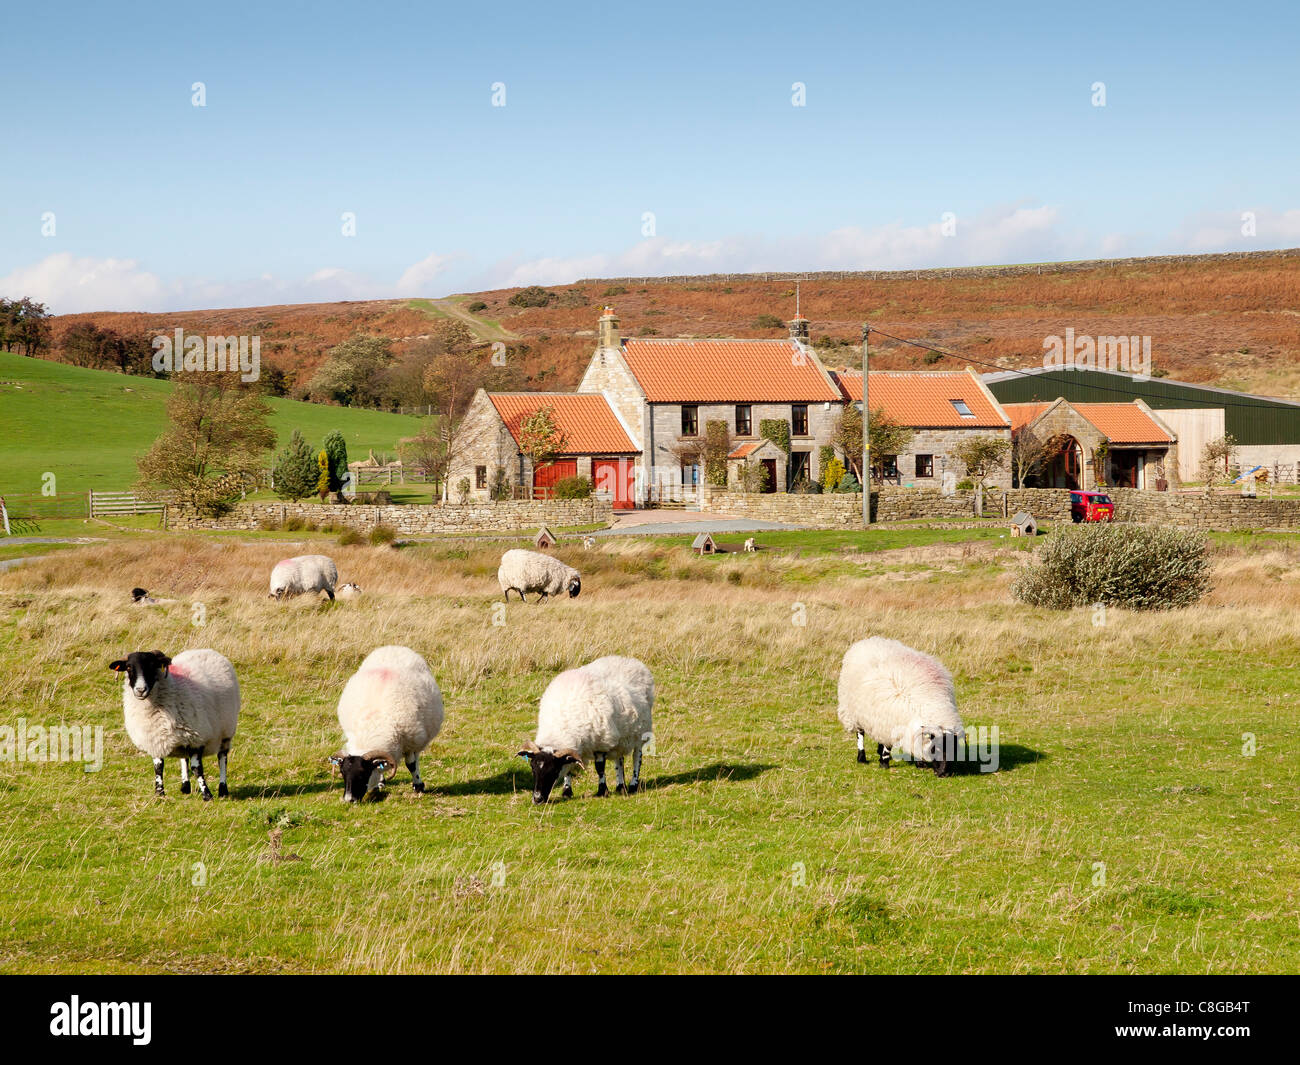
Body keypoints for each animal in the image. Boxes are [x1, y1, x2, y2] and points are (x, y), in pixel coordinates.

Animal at [110, 642, 240, 801]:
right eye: (129, 667)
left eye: (153, 665)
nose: (140, 690)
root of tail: (206, 650)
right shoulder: (156, 738)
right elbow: (158, 767)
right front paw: (159, 793)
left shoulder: (196, 738)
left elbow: (197, 768)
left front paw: (207, 794)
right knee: (184, 758)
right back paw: (185, 786)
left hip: (226, 731)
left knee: (222, 757)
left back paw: (223, 789)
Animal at [327, 644, 444, 806]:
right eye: (342, 773)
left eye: (363, 773)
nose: (349, 800)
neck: (372, 724)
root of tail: (394, 647)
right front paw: (379, 784)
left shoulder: (409, 742)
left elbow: (411, 765)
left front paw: (418, 787)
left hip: (418, 736)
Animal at [517, 652, 655, 806]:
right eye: (532, 768)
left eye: (553, 770)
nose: (537, 799)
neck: (561, 725)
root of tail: (630, 660)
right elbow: (569, 769)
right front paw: (566, 791)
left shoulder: (601, 742)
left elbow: (599, 768)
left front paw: (602, 791)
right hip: (620, 736)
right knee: (619, 759)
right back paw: (620, 787)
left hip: (641, 732)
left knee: (637, 757)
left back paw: (633, 785)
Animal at [832, 637, 967, 780]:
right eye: (935, 748)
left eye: (955, 750)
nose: (945, 774)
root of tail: (868, 640)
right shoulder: (891, 722)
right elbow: (888, 747)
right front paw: (884, 763)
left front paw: (920, 763)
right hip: (853, 709)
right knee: (860, 733)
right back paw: (862, 757)